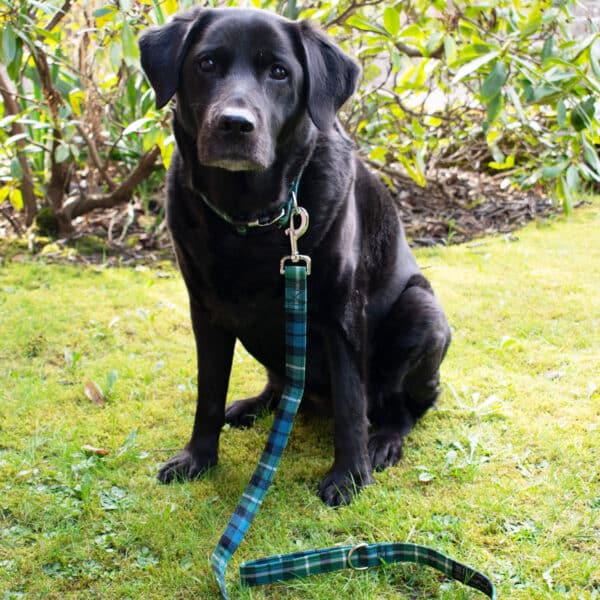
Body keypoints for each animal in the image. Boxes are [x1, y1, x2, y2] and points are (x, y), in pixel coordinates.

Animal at [139, 8, 450, 506]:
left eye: (279, 72)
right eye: (206, 64)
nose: (235, 124)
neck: (250, 218)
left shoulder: (341, 315)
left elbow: (351, 404)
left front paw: (349, 475)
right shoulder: (205, 312)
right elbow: (208, 392)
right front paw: (198, 457)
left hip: (421, 309)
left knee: (402, 407)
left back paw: (383, 441)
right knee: (284, 384)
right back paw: (255, 405)